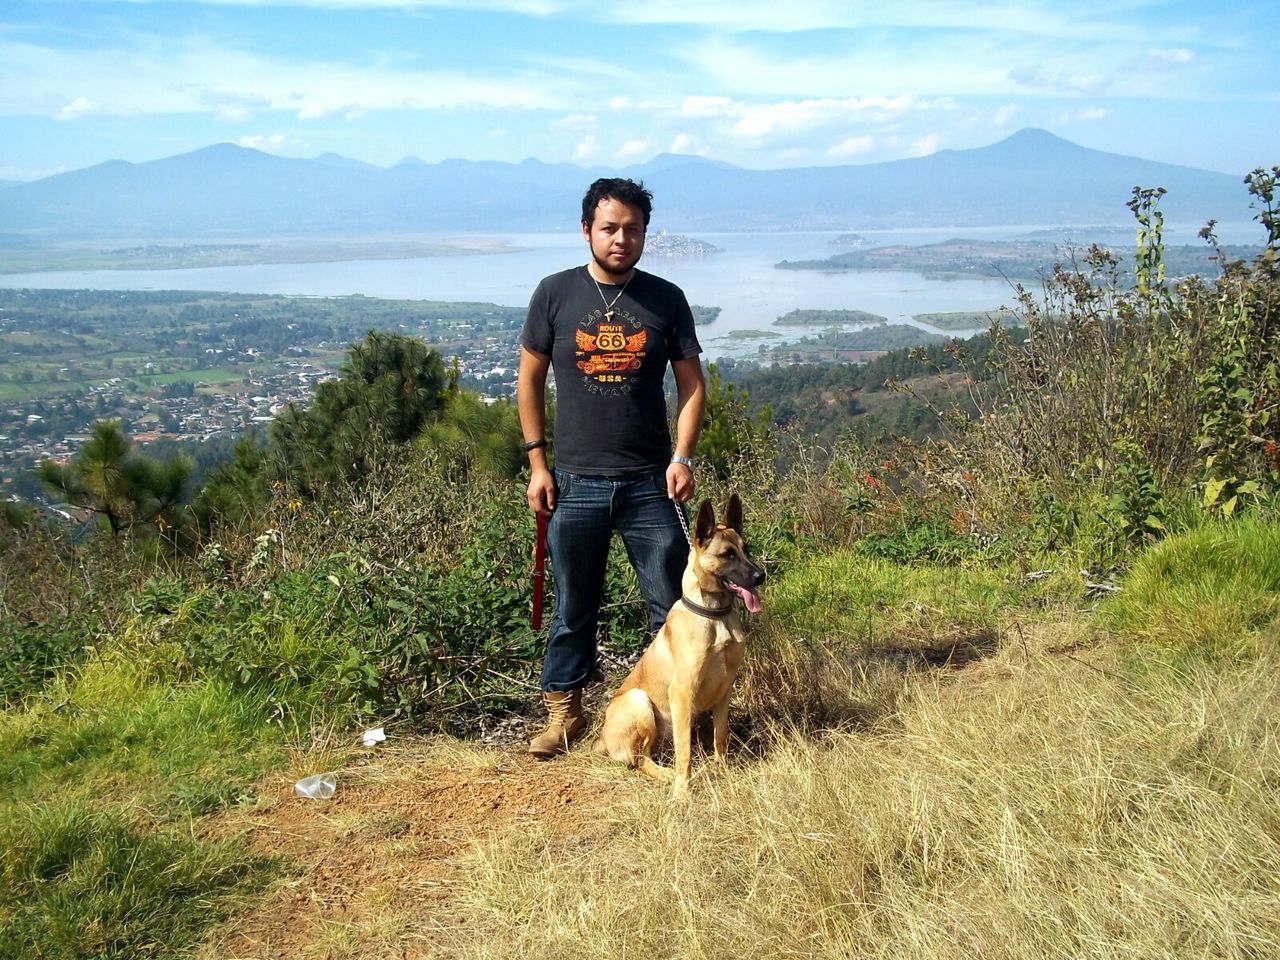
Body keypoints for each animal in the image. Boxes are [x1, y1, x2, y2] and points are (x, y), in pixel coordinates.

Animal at [593, 496, 762, 798]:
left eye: (746, 550)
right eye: (727, 555)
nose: (760, 576)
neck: (714, 615)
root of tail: (602, 738)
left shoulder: (724, 689)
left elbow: (721, 737)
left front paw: (723, 771)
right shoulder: (682, 693)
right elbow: (686, 751)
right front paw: (682, 791)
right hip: (639, 701)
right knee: (640, 760)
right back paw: (669, 776)